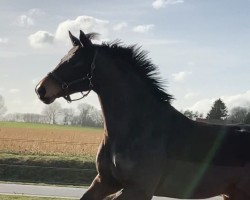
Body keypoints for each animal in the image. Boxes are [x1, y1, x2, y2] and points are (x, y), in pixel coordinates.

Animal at [35, 30, 250, 199]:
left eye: (76, 63)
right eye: (63, 59)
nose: (41, 89)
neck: (137, 129)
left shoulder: (139, 190)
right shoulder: (104, 182)